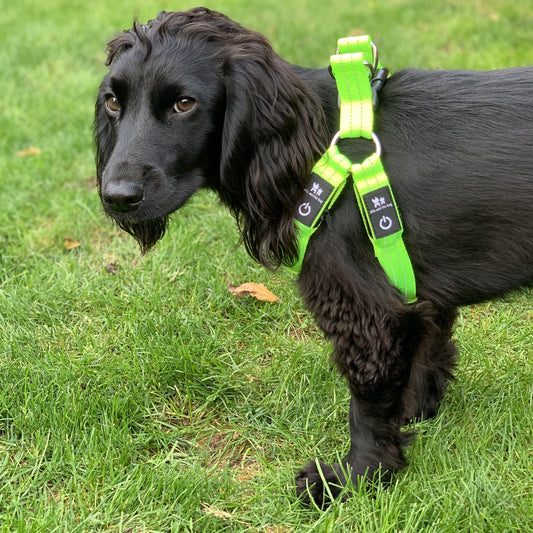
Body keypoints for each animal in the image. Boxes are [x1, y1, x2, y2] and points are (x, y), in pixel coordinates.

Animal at [95, 9, 532, 508]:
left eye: (184, 104)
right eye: (113, 102)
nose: (116, 197)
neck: (316, 146)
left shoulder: (366, 312)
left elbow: (366, 408)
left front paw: (354, 477)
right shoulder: (417, 298)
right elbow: (427, 355)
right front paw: (414, 415)